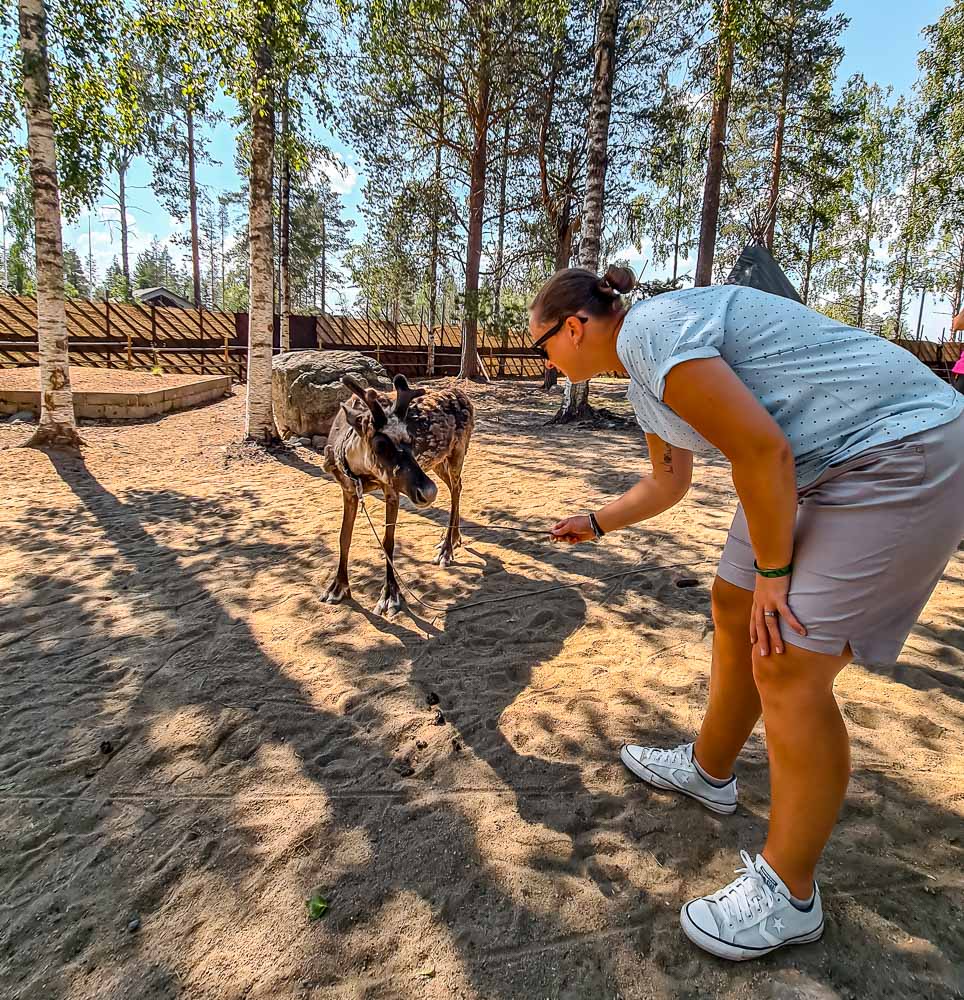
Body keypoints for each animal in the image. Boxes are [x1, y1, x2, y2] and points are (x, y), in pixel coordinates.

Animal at [322, 374, 475, 616]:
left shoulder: (391, 490)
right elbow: (344, 537)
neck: (357, 470)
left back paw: (446, 550)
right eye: (379, 444)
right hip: (436, 463)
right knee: (455, 487)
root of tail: (464, 395)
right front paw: (338, 587)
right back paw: (452, 539)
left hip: (456, 453)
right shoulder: (348, 490)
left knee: (456, 487)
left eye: (411, 440)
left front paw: (390, 596)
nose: (428, 492)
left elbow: (388, 542)